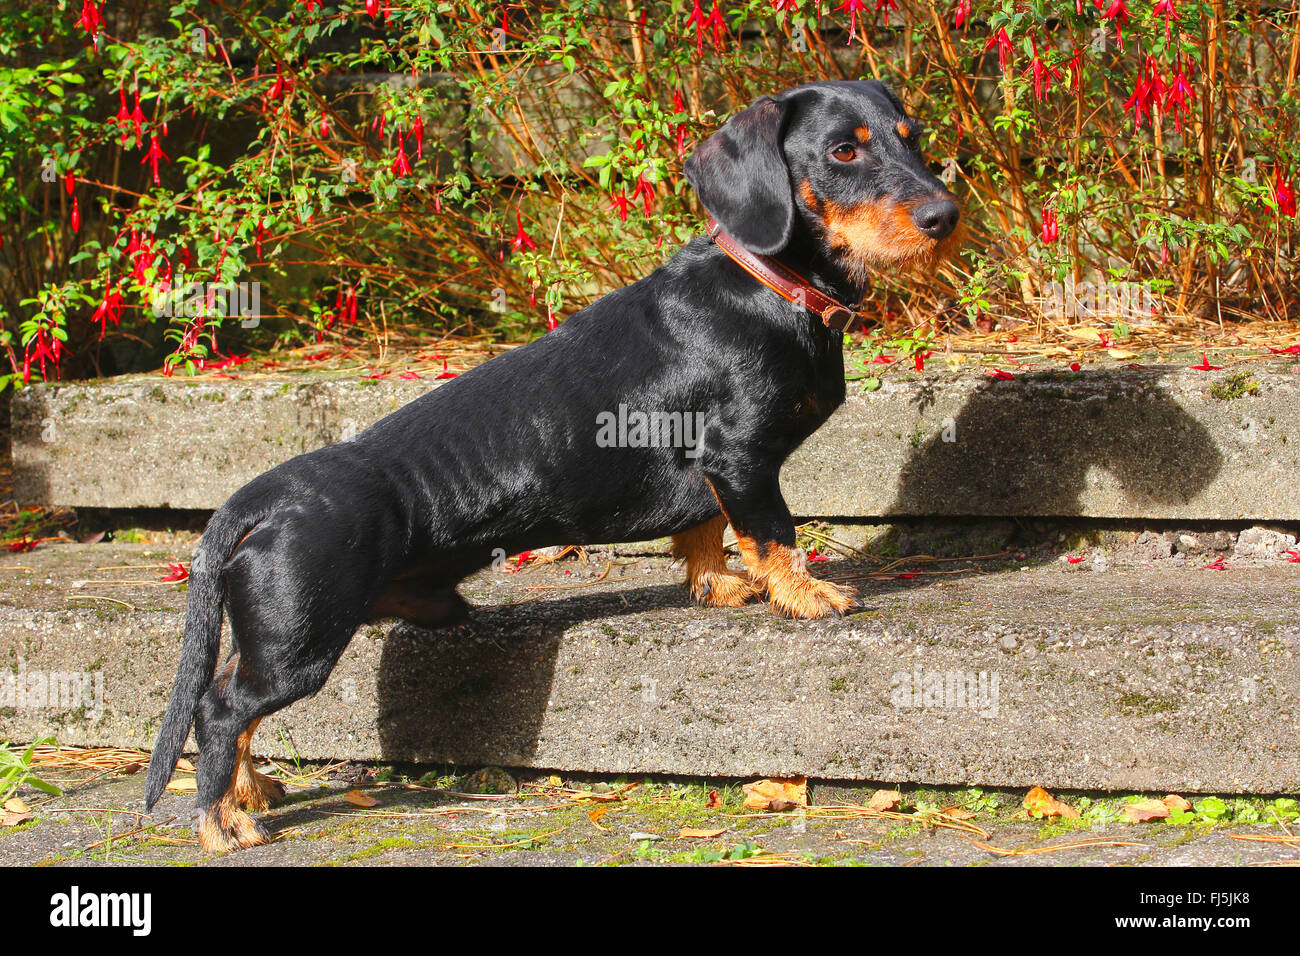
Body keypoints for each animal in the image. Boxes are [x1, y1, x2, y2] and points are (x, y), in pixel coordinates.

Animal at [142, 78, 961, 848]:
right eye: (843, 152)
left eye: (912, 137)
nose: (945, 216)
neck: (766, 286)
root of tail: (259, 498)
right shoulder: (741, 455)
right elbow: (773, 533)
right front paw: (805, 592)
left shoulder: (711, 475)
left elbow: (703, 533)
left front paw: (719, 584)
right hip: (297, 641)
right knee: (220, 709)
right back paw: (220, 821)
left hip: (275, 639)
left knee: (226, 697)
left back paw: (250, 789)